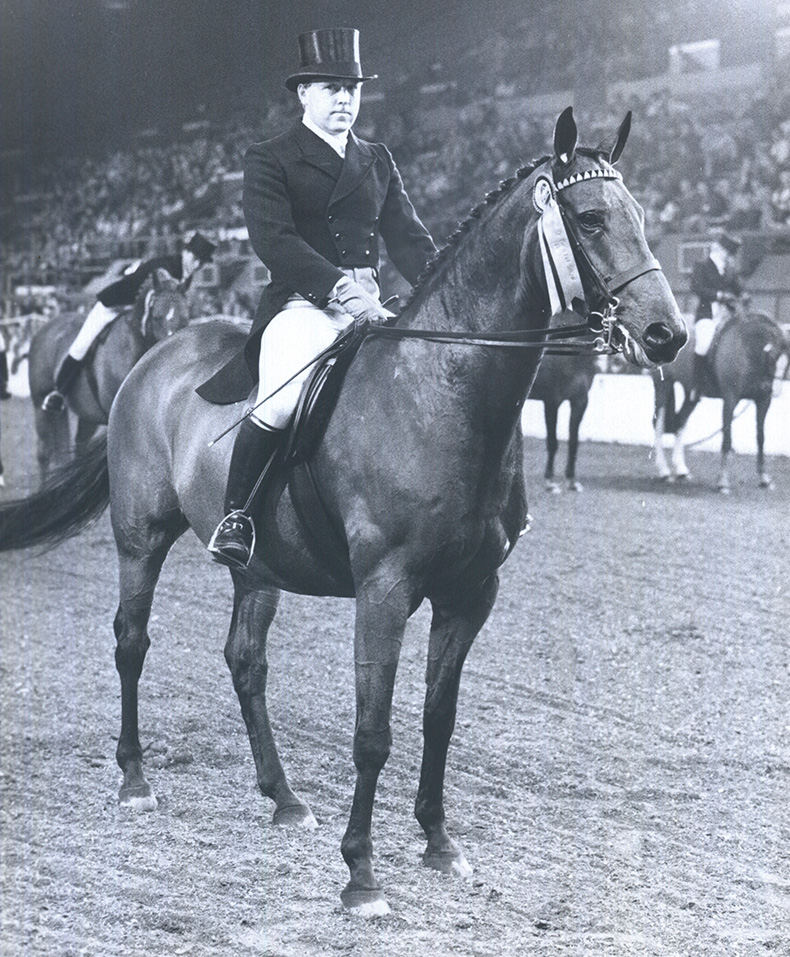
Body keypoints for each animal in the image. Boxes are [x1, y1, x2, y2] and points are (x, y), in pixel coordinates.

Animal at [27, 268, 190, 478]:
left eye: (185, 319)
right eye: (156, 317)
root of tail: (46, 327)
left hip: (86, 416)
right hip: (41, 406)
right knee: (44, 454)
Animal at [527, 351, 599, 492]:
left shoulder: (580, 401)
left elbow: (573, 442)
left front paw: (572, 481)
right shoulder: (552, 402)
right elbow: (552, 443)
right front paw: (549, 482)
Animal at [652, 311, 788, 492]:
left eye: (787, 364)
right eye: (772, 360)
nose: (775, 391)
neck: (748, 350)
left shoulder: (763, 401)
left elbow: (761, 438)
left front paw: (764, 479)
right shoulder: (730, 400)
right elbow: (727, 439)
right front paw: (723, 482)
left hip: (690, 393)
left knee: (680, 420)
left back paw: (681, 470)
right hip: (663, 384)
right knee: (658, 425)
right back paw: (664, 471)